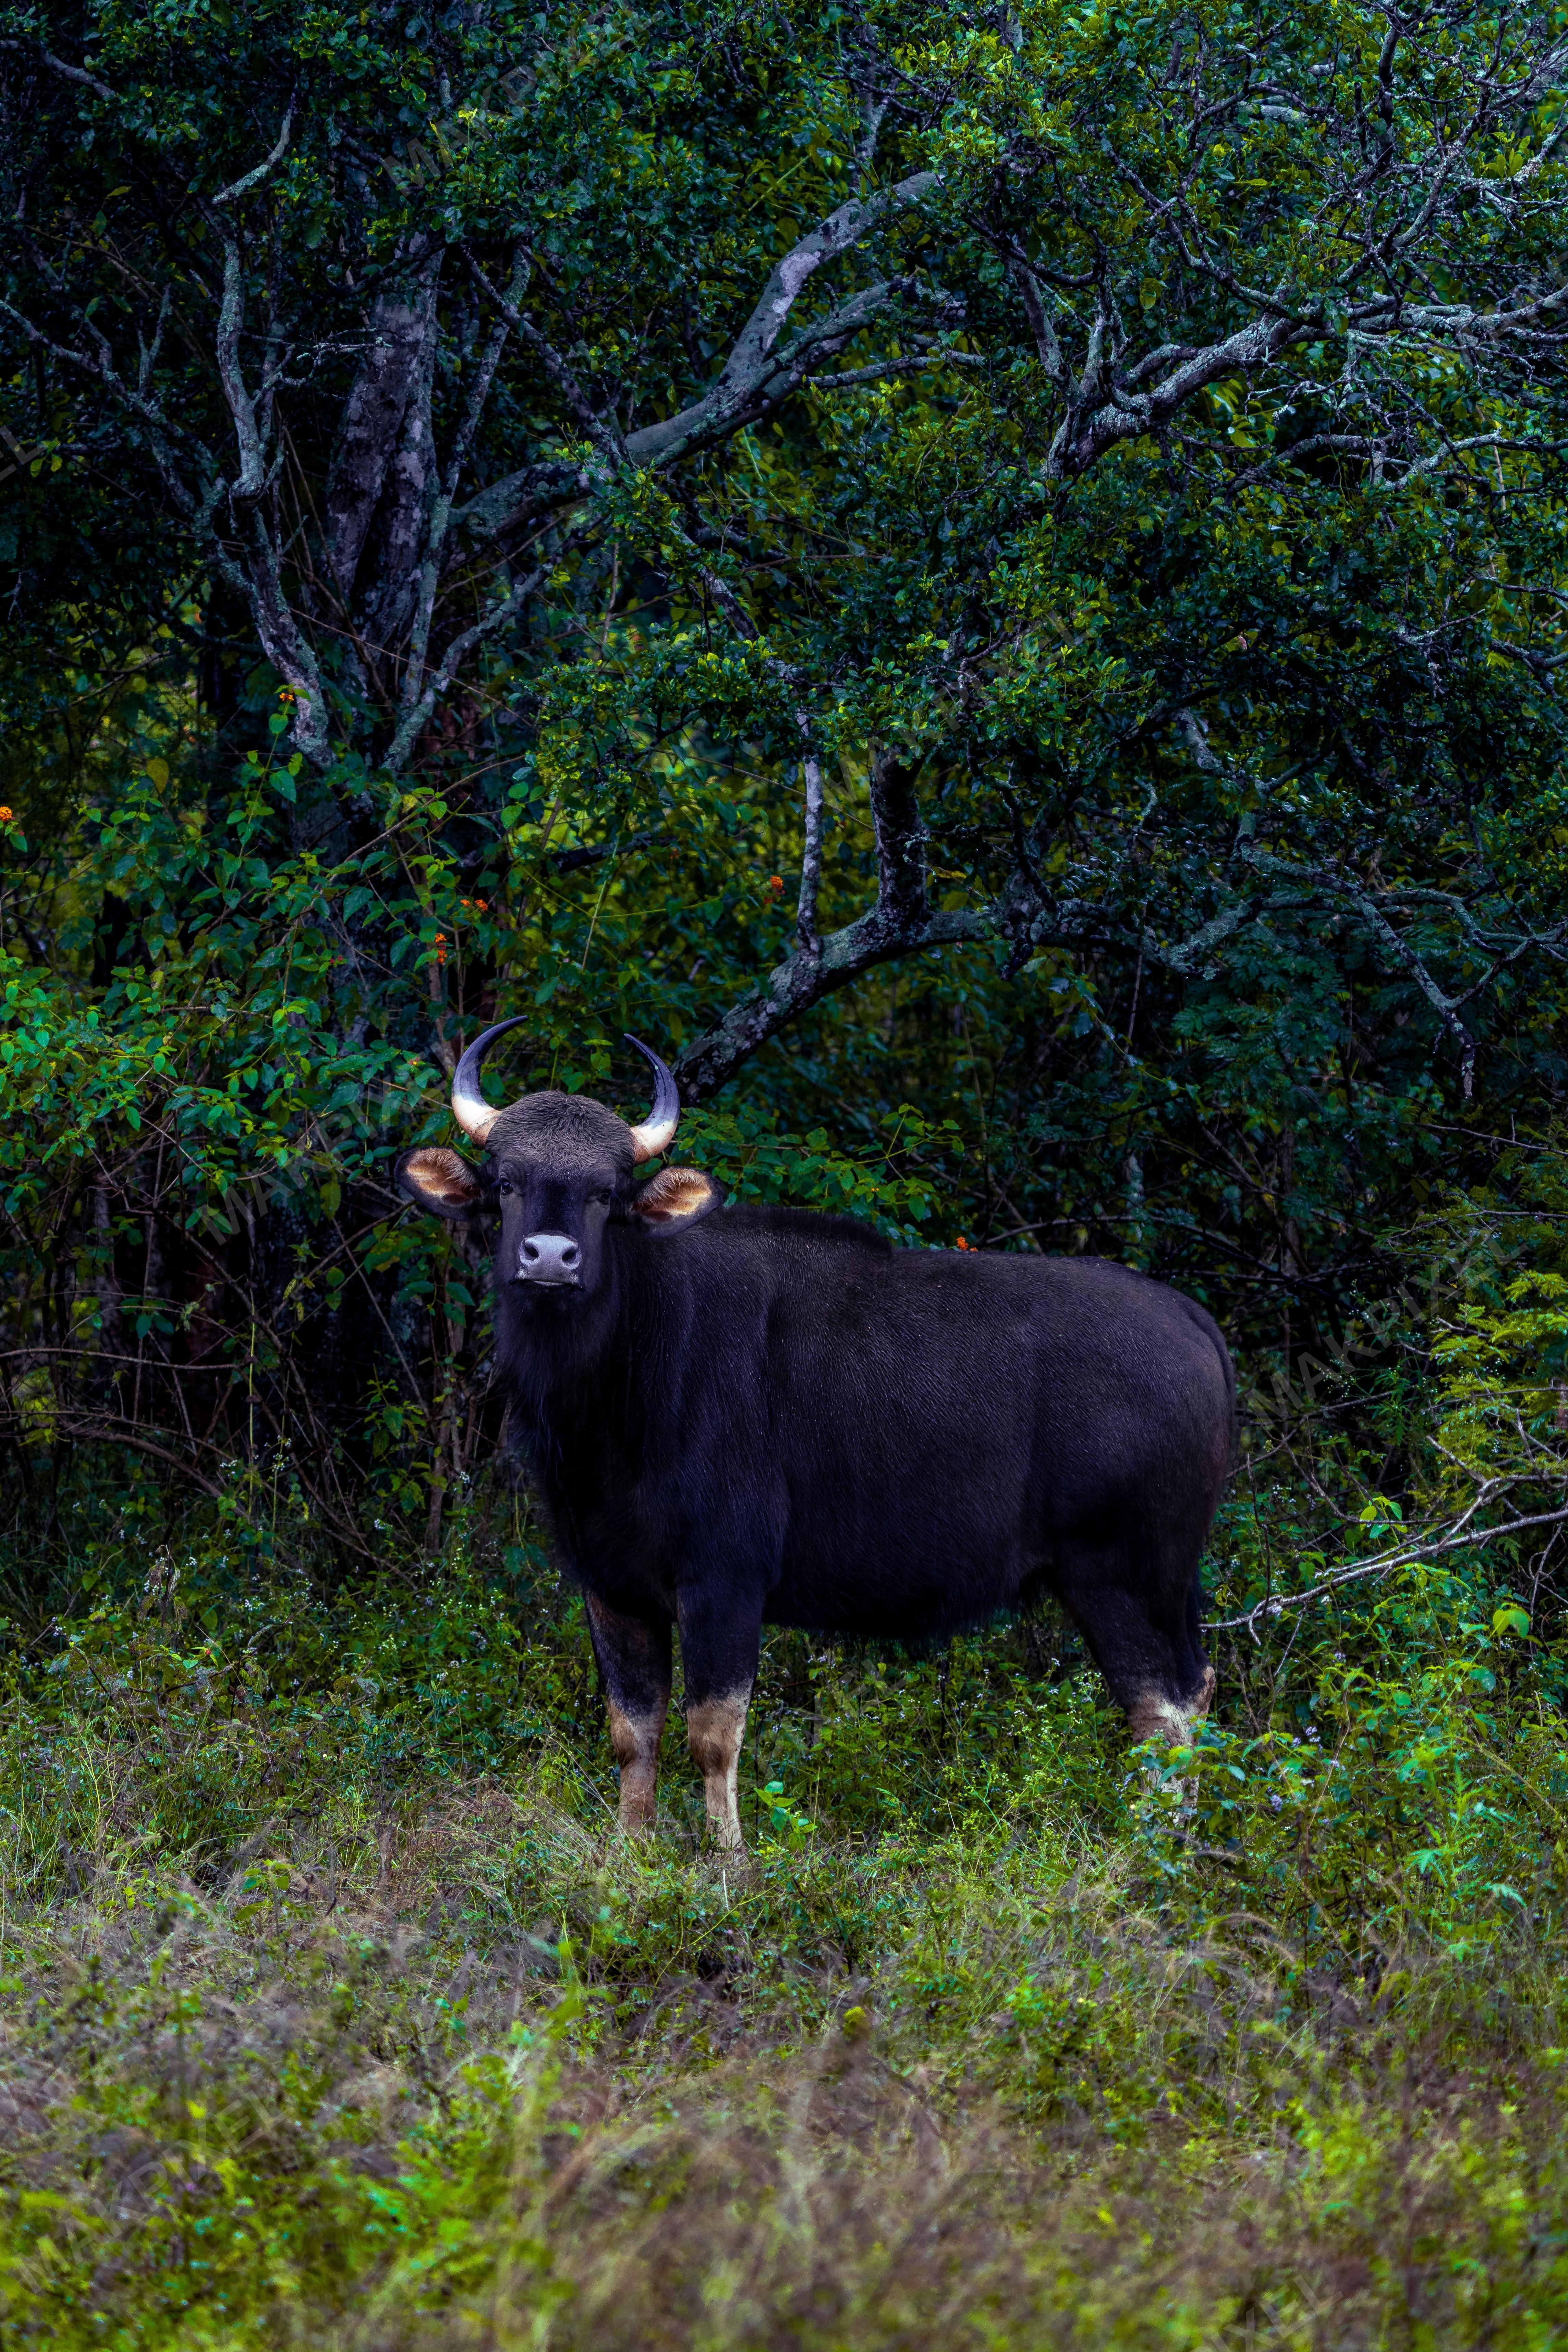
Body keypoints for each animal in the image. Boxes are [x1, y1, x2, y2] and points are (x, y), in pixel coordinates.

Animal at [396, 1022, 1234, 1847]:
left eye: (607, 1193)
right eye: (507, 1182)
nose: (550, 1257)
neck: (624, 1382)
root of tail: (1192, 1322)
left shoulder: (726, 1579)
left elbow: (713, 1734)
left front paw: (726, 1857)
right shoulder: (612, 1586)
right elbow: (634, 1732)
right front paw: (630, 1850)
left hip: (1126, 1573)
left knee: (1162, 1708)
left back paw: (1153, 1852)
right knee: (1191, 1690)